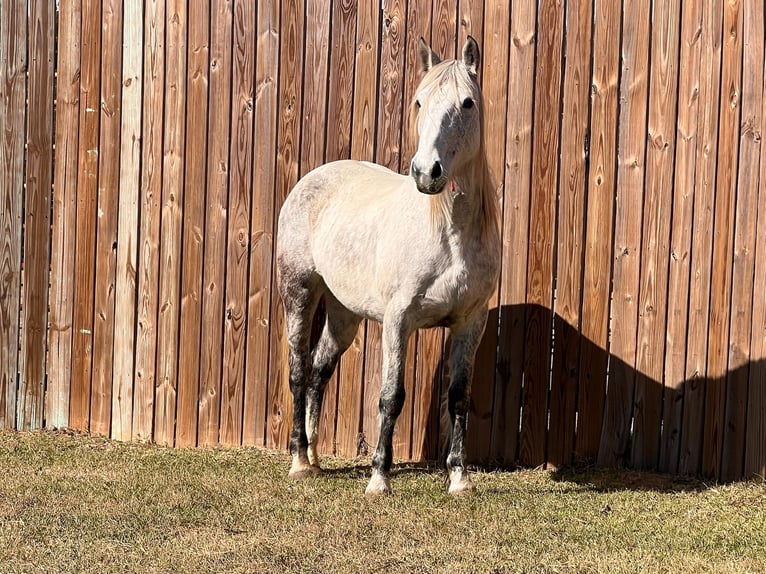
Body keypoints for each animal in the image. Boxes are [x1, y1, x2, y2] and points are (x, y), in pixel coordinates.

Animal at [276, 36, 500, 496]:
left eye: (467, 103)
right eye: (419, 101)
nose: (427, 172)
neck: (449, 235)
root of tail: (311, 179)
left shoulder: (471, 322)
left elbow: (459, 397)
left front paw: (459, 478)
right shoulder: (398, 321)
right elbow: (391, 396)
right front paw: (380, 479)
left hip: (344, 314)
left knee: (320, 370)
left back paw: (315, 457)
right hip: (299, 296)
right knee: (298, 371)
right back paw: (299, 461)